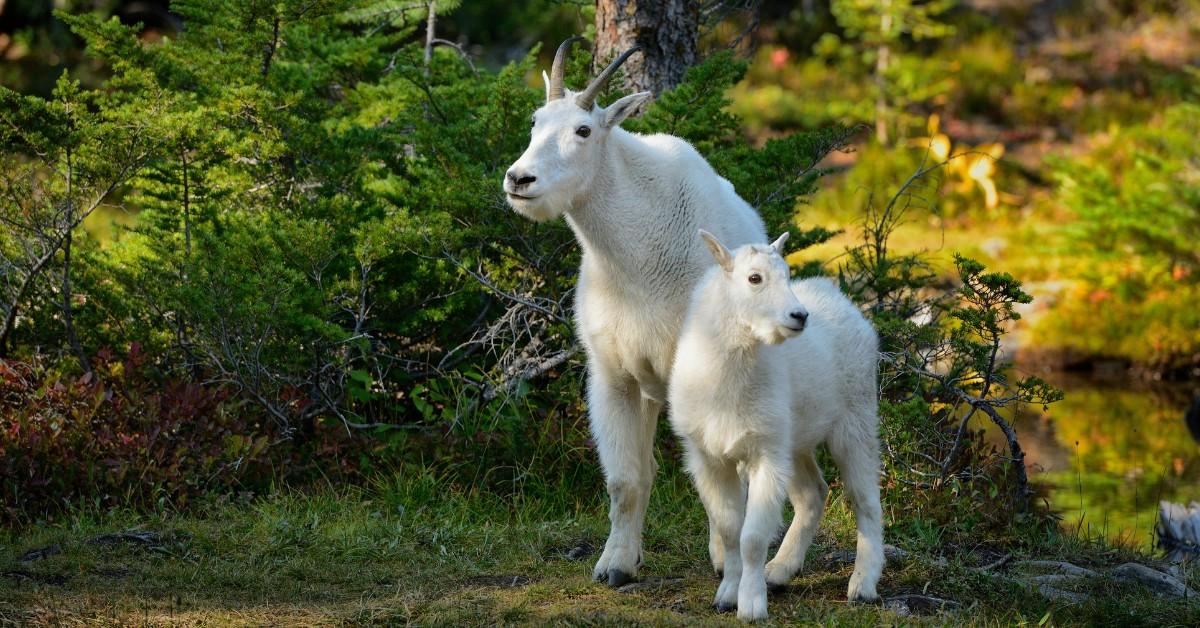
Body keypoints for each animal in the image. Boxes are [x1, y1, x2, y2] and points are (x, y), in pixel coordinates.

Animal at [499, 36, 763, 588]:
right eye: (535, 121)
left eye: (583, 130)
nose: (519, 179)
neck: (634, 257)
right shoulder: (614, 375)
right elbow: (625, 479)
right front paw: (616, 565)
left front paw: (725, 563)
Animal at [667, 231, 883, 624]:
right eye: (755, 278)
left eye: (786, 274)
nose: (799, 316)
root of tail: (840, 299)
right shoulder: (710, 457)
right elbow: (730, 531)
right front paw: (727, 594)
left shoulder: (765, 456)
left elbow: (752, 538)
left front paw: (751, 605)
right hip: (793, 440)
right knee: (814, 492)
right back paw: (780, 570)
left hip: (855, 419)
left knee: (866, 501)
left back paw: (863, 584)